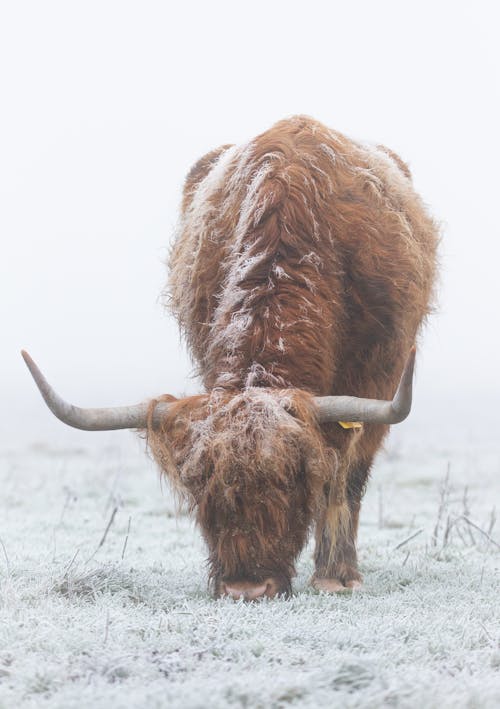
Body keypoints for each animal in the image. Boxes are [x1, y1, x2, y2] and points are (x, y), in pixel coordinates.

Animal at [23, 115, 438, 596]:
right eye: (198, 483)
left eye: (292, 478)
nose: (247, 590)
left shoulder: (376, 380)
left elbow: (343, 477)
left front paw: (336, 577)